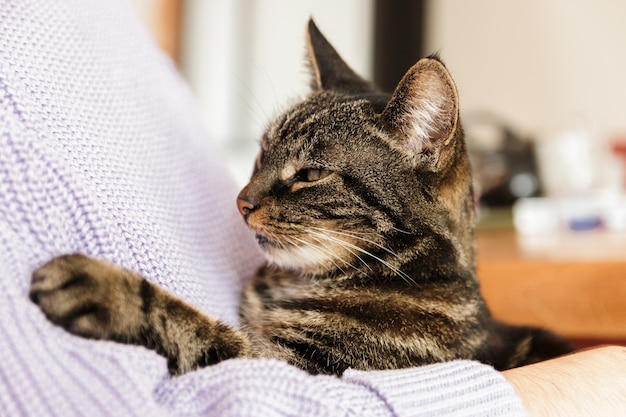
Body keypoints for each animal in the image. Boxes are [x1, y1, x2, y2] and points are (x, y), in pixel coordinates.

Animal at [28, 21, 572, 376]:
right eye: (261, 153)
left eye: (309, 174)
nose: (241, 201)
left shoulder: (298, 370)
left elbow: (198, 329)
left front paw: (98, 284)